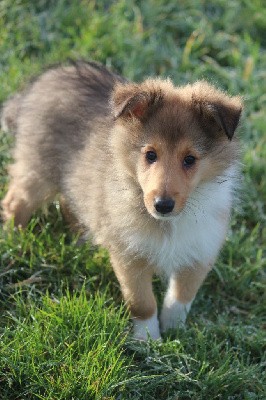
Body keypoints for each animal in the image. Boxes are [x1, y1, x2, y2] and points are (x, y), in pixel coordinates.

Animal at [0, 61, 243, 340]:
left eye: (190, 159)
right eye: (150, 154)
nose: (162, 205)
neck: (167, 224)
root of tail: (52, 74)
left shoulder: (201, 248)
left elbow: (181, 298)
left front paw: (174, 333)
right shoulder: (129, 254)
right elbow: (142, 302)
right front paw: (148, 340)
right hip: (38, 169)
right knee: (15, 203)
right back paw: (14, 240)